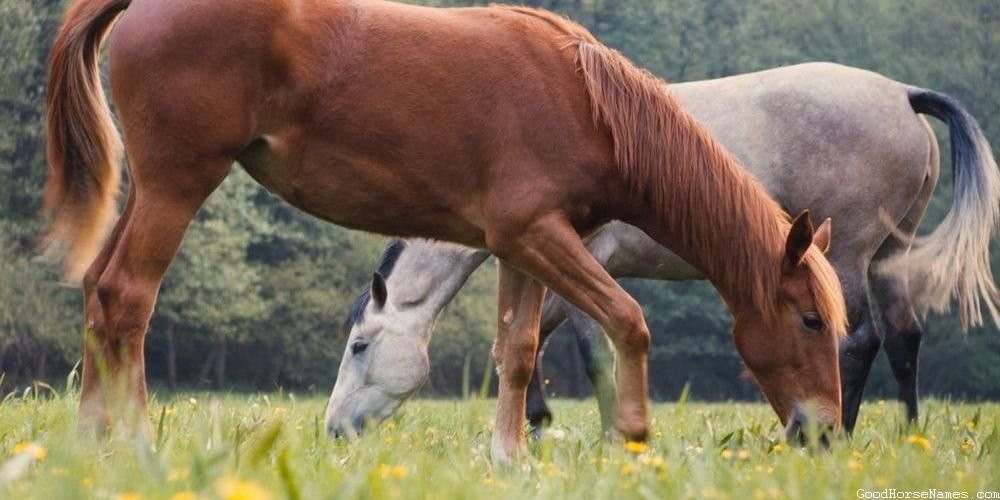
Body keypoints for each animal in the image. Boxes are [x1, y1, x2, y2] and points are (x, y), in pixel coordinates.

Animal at [45, 0, 844, 460]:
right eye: (809, 319)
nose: (827, 434)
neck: (586, 104)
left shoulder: (521, 246)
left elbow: (517, 352)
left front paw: (510, 460)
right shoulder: (541, 239)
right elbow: (628, 318)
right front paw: (632, 432)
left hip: (150, 188)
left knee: (97, 294)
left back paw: (89, 443)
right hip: (178, 183)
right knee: (127, 296)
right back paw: (135, 443)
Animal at [324, 62, 996, 436]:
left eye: (360, 346)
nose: (333, 432)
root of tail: (901, 92)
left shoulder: (583, 261)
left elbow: (585, 350)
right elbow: (532, 341)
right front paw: (541, 426)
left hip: (847, 255)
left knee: (857, 341)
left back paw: (839, 433)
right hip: (887, 256)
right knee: (905, 340)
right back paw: (906, 435)